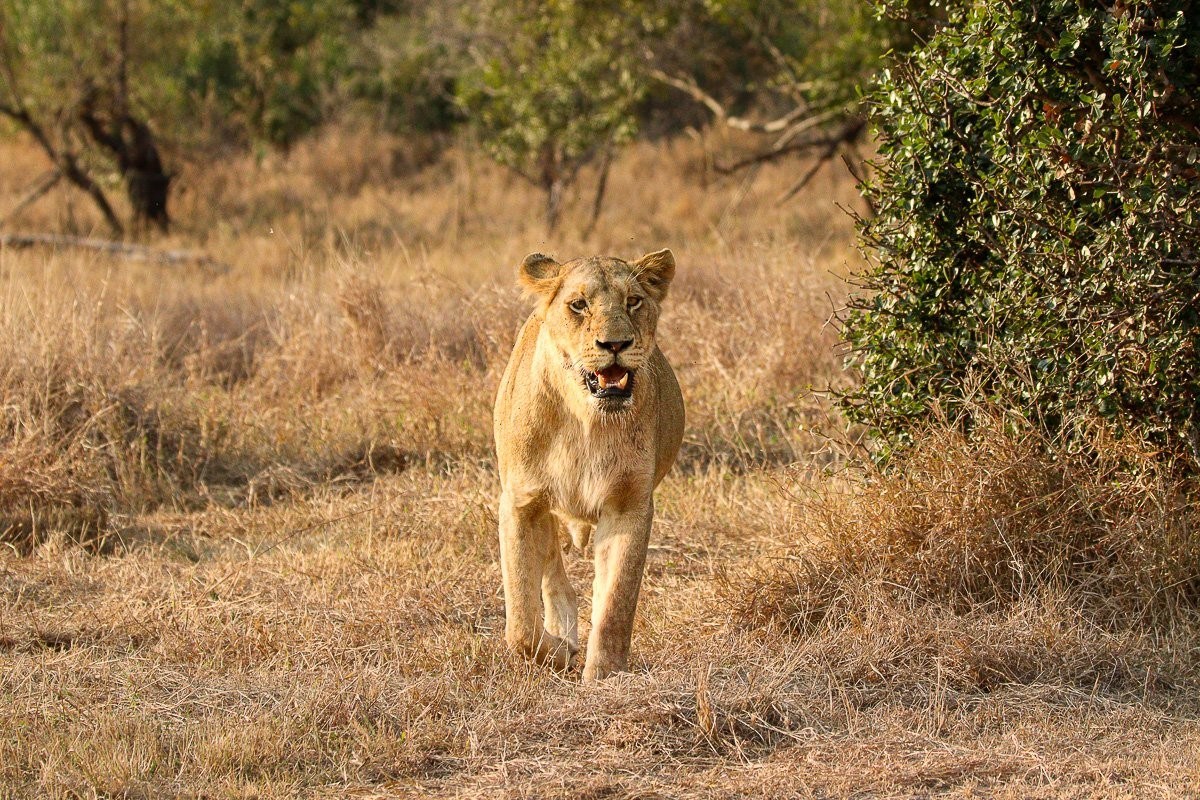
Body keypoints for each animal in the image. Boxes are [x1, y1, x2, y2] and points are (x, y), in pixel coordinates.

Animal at [493, 249, 684, 681]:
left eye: (634, 301)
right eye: (579, 305)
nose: (615, 343)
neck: (588, 421)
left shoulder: (628, 505)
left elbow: (616, 602)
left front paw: (605, 678)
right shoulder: (521, 502)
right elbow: (521, 624)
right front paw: (560, 653)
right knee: (553, 577)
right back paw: (563, 635)